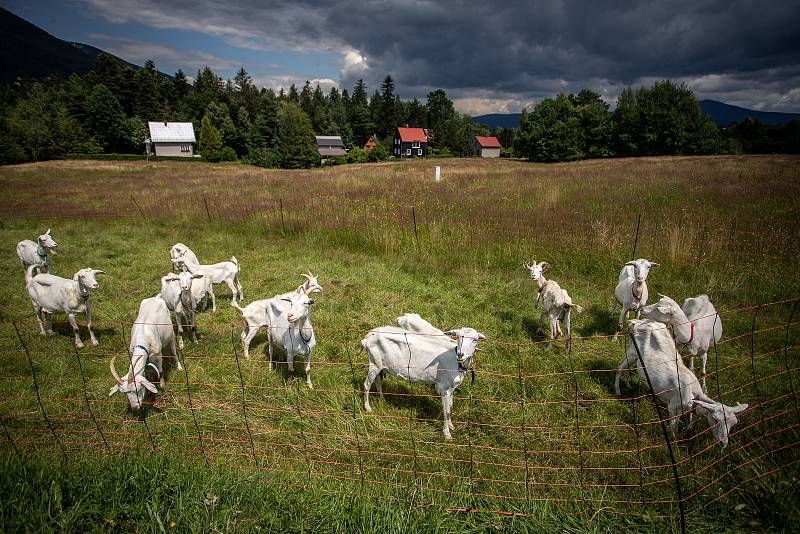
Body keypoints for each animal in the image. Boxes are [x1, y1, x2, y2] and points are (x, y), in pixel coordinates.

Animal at [616, 320, 748, 450]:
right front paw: (674, 441)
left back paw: (628, 386)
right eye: (715, 419)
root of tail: (635, 322)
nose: (723, 443)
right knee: (620, 367)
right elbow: (674, 425)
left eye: (734, 423)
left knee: (626, 368)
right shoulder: (673, 405)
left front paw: (686, 429)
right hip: (633, 351)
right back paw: (618, 391)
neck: (693, 394)